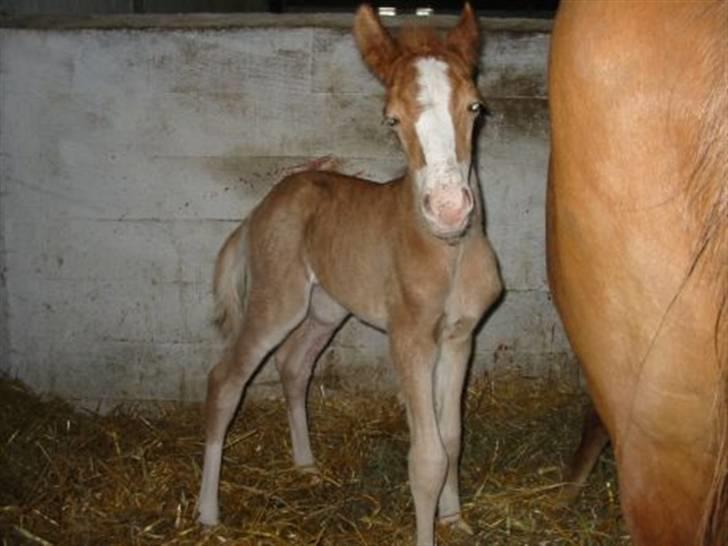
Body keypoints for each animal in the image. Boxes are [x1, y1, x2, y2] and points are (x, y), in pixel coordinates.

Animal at [196, 6, 504, 540]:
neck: (448, 253)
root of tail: (258, 210)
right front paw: (429, 532)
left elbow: (452, 437)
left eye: (475, 108)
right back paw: (207, 513)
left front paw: (455, 519)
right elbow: (427, 457)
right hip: (278, 301)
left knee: (294, 366)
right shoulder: (409, 339)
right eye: (392, 119)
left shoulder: (459, 336)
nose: (449, 209)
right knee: (226, 379)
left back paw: (306, 465)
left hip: (325, 309)